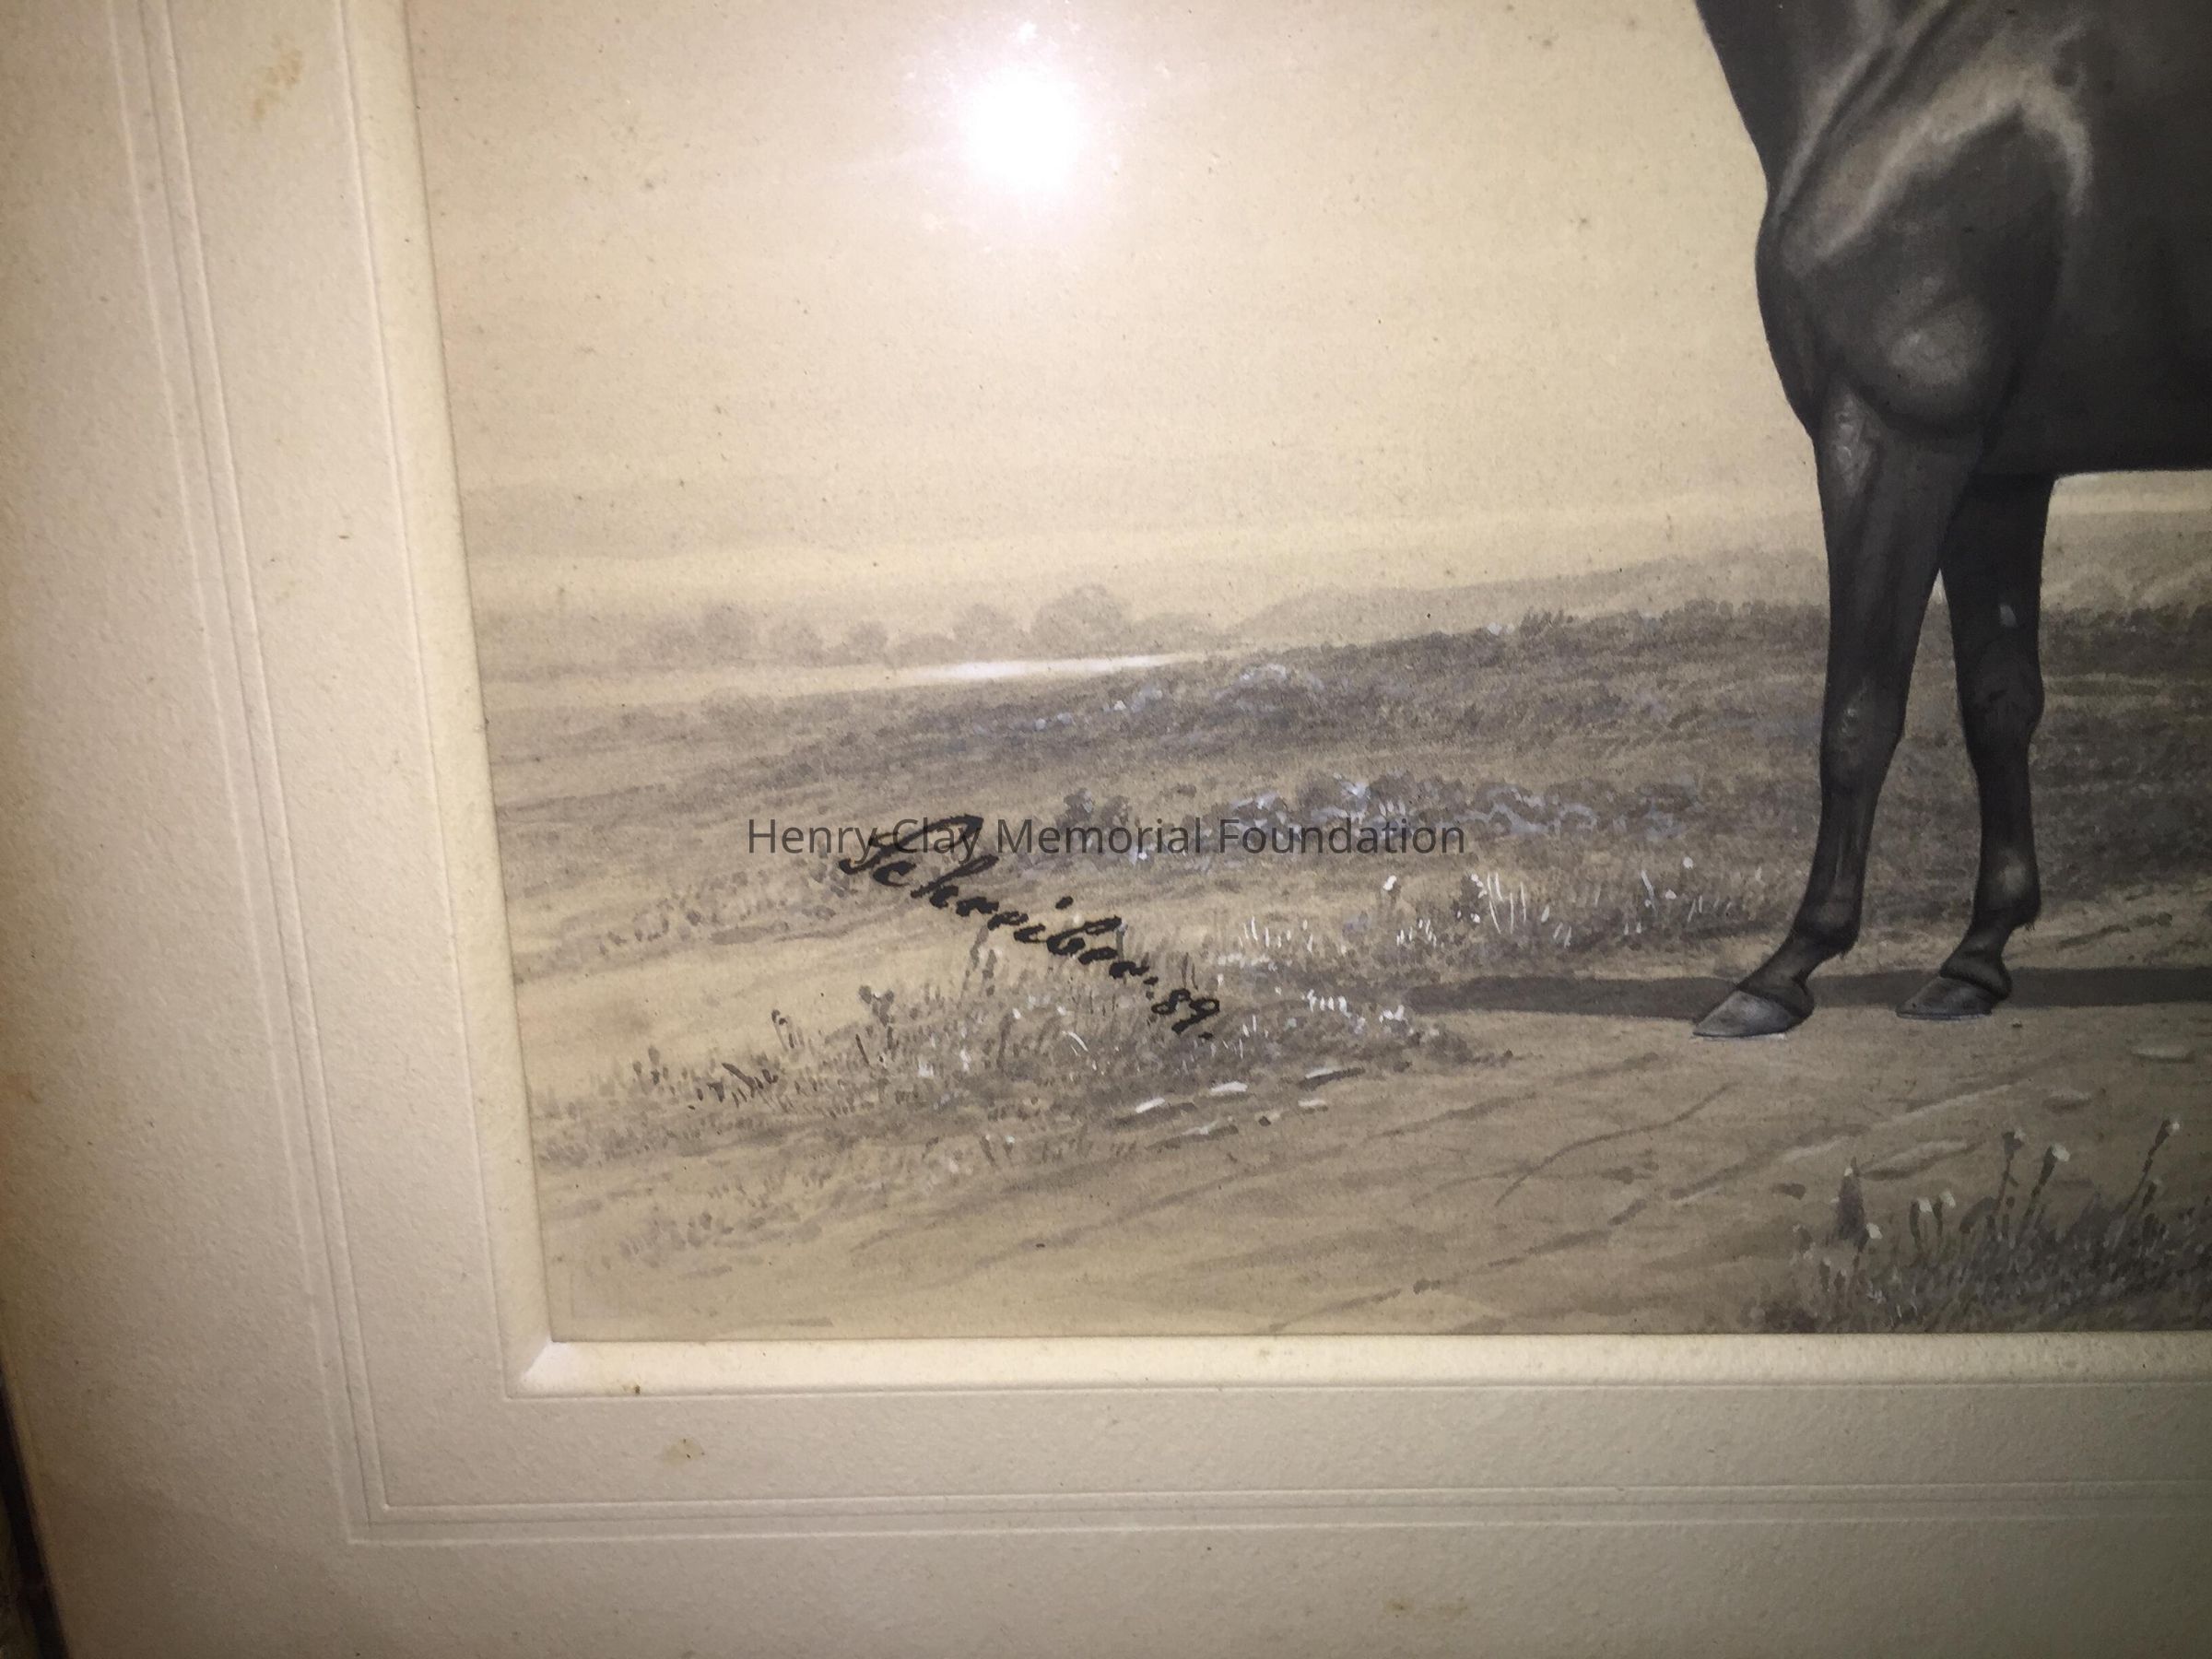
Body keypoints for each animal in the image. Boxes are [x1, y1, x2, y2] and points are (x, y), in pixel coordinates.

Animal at [1688, 0, 2212, 1038]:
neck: (1897, 66)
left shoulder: (1894, 435)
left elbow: (1858, 713)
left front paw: (1785, 968)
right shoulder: (1996, 476)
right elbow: (1999, 702)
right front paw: (1977, 957)